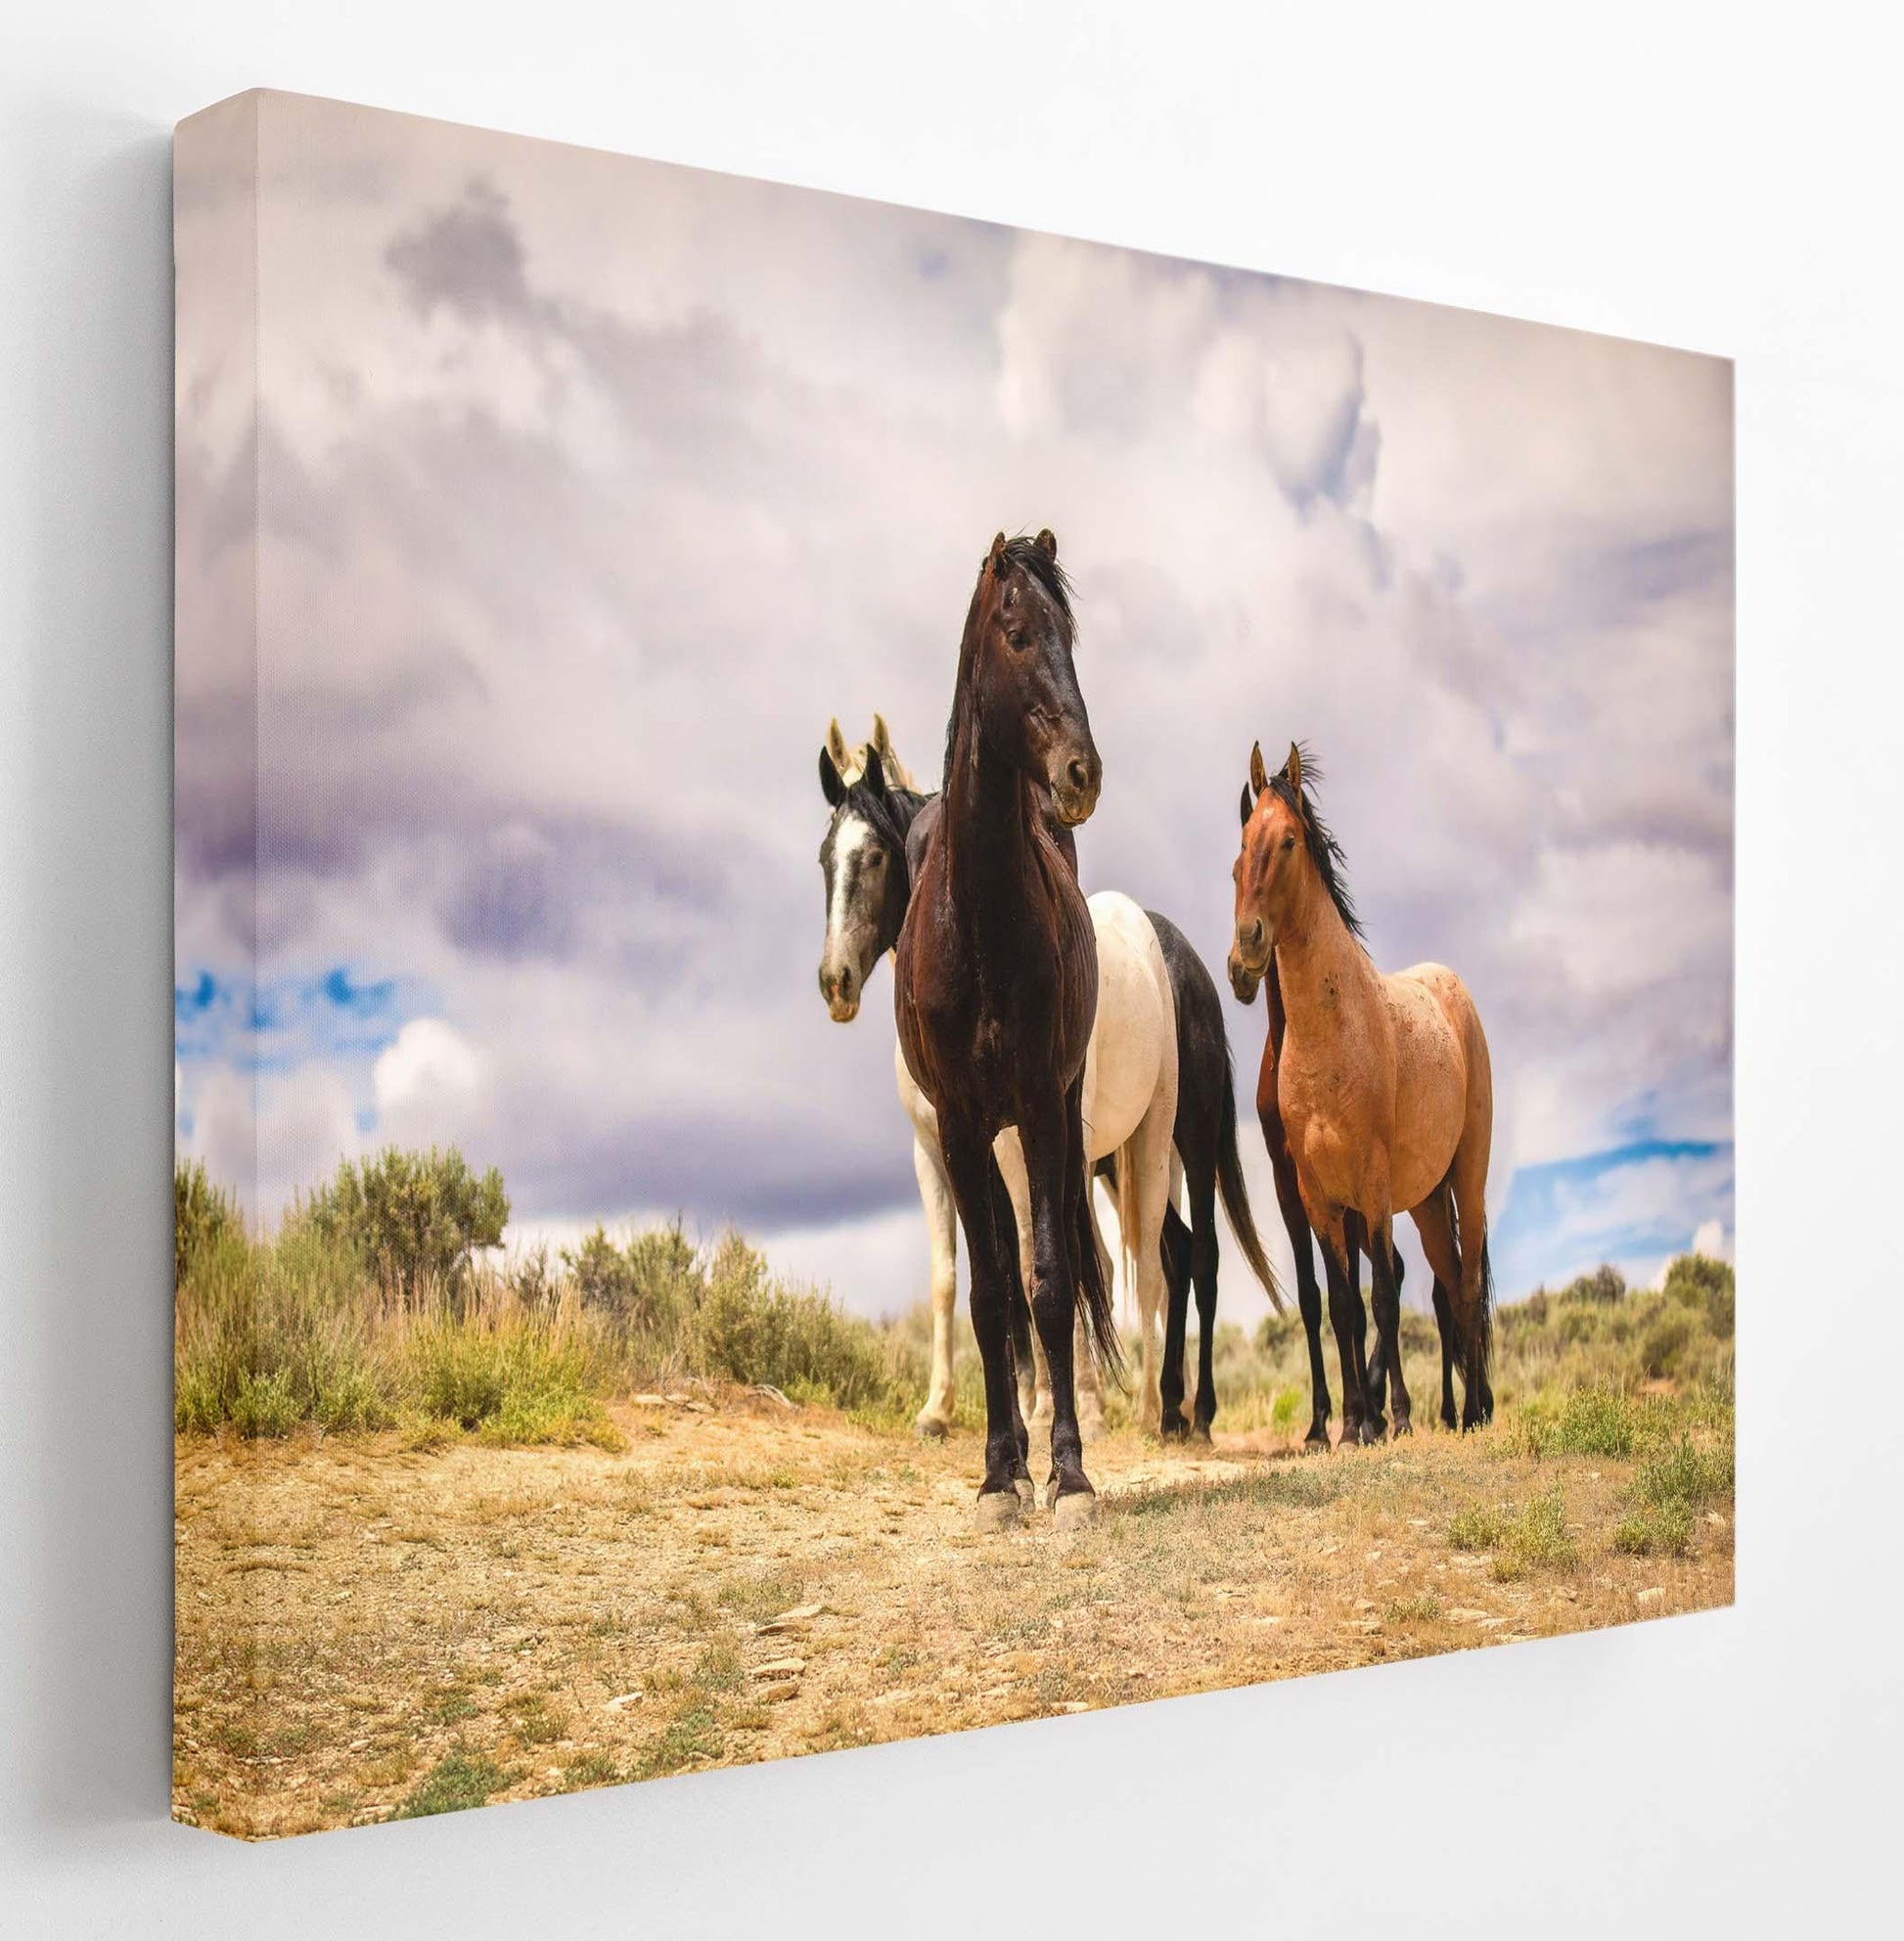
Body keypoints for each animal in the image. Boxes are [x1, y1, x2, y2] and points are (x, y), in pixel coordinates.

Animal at [1226, 733, 1490, 1436]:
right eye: (1242, 849)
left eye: (1289, 841)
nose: (1245, 953)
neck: (1328, 1039)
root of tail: (1452, 987)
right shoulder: (1315, 1193)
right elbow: (1341, 1303)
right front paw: (1348, 1425)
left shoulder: (1370, 1187)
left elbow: (1384, 1301)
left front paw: (1392, 1417)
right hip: (1426, 1201)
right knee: (1448, 1281)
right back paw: (1461, 1408)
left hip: (1466, 1178)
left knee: (1466, 1283)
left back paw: (1473, 1411)